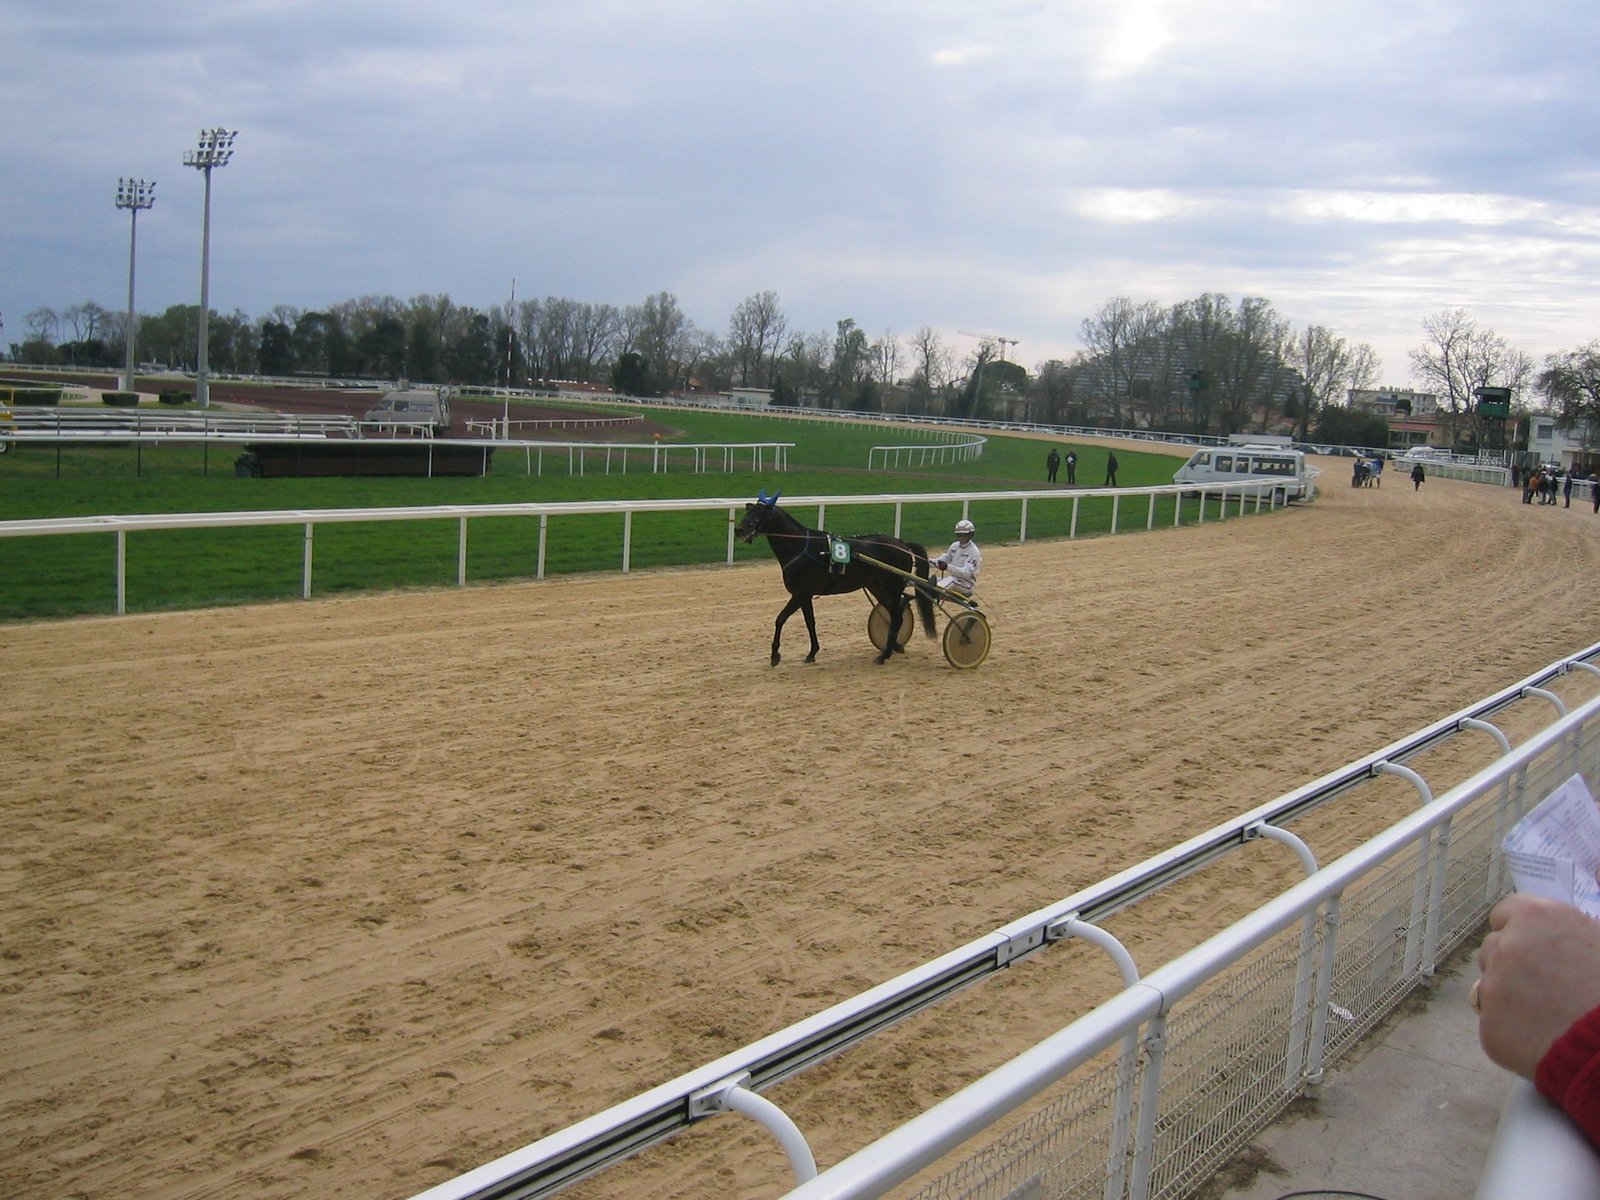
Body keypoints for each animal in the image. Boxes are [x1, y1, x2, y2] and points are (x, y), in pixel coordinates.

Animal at [736, 492, 934, 672]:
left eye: (761, 513)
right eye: (749, 509)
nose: (739, 530)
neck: (801, 547)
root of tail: (902, 544)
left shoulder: (801, 593)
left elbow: (781, 619)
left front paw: (775, 655)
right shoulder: (805, 595)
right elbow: (809, 622)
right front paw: (811, 653)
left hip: (890, 587)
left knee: (897, 616)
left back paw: (884, 655)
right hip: (878, 588)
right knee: (898, 611)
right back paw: (893, 647)